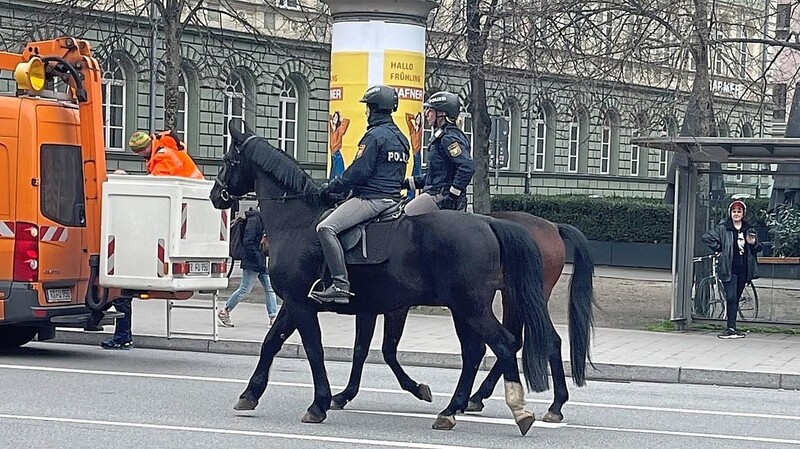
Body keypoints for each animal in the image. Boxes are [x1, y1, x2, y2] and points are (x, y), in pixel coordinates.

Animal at [209, 122, 552, 434]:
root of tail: (488, 223)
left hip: (471, 307)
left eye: (227, 159)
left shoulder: (302, 304)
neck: (297, 222)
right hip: (463, 309)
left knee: (503, 344)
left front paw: (319, 404)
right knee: (475, 352)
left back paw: (517, 410)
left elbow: (314, 349)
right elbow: (272, 342)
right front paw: (250, 394)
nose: (215, 195)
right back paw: (452, 410)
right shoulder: (300, 304)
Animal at [328, 211, 596, 424]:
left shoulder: (387, 307)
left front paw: (345, 394)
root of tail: (552, 226)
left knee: (517, 342)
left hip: (508, 299)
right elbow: (371, 349)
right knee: (534, 341)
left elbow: (375, 350)